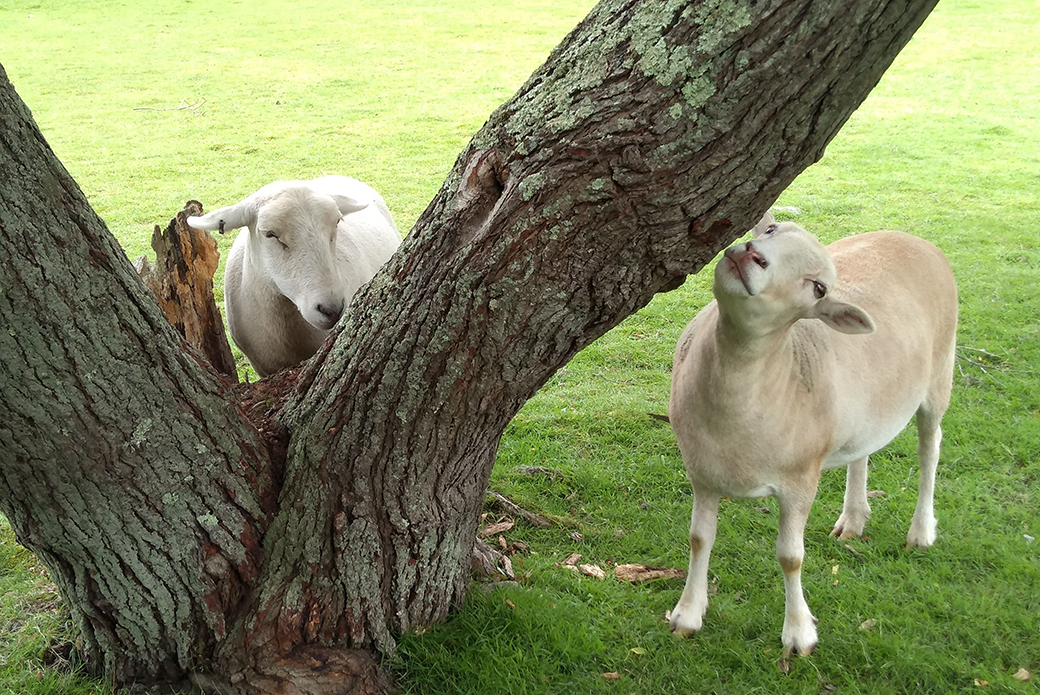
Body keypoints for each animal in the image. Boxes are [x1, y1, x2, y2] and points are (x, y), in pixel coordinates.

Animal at [665, 217, 956, 657]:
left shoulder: (800, 481)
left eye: (818, 288)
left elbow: (790, 557)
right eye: (771, 231)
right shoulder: (703, 473)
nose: (751, 253)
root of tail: (913, 239)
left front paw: (798, 633)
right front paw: (688, 615)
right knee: (862, 451)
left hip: (940, 375)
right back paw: (853, 518)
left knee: (930, 450)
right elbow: (699, 538)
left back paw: (921, 531)